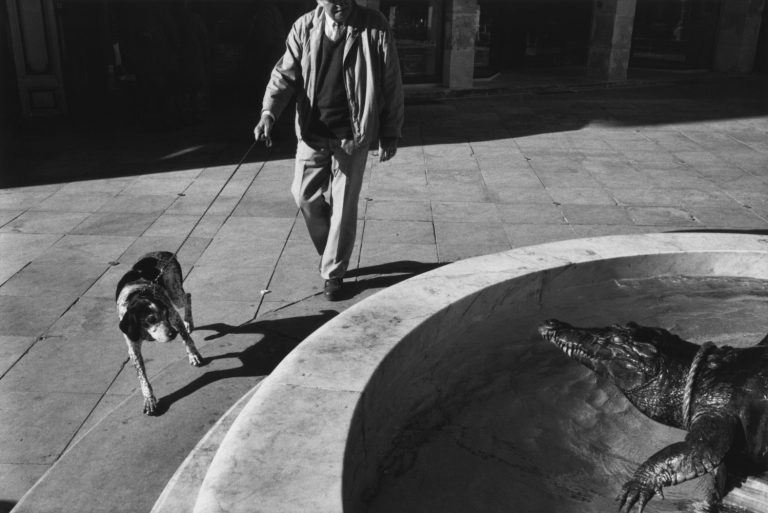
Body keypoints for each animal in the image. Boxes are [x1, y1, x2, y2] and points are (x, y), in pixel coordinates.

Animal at [115, 250, 202, 414]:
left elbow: (187, 339)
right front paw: (149, 399)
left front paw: (193, 355)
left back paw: (189, 322)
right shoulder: (133, 349)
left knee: (187, 297)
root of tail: (164, 253)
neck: (138, 295)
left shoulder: (173, 315)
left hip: (175, 294)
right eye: (150, 319)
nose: (173, 334)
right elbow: (143, 378)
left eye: (164, 313)